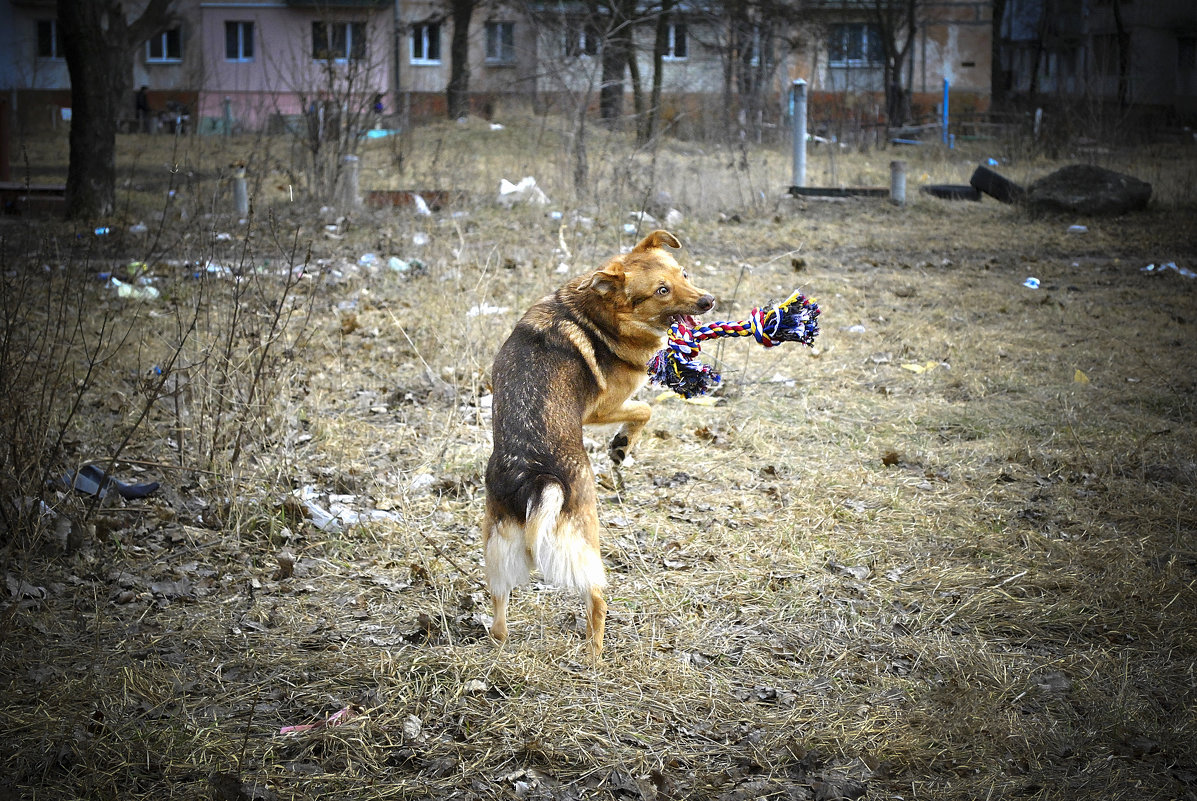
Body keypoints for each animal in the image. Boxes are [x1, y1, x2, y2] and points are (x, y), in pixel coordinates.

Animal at [483, 226, 713, 656]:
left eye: (684, 274)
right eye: (661, 291)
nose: (709, 301)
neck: (595, 311)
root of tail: (536, 478)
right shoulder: (605, 407)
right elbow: (644, 410)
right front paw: (621, 447)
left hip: (497, 550)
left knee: (499, 612)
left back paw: (502, 644)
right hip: (584, 539)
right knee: (596, 598)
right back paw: (596, 654)